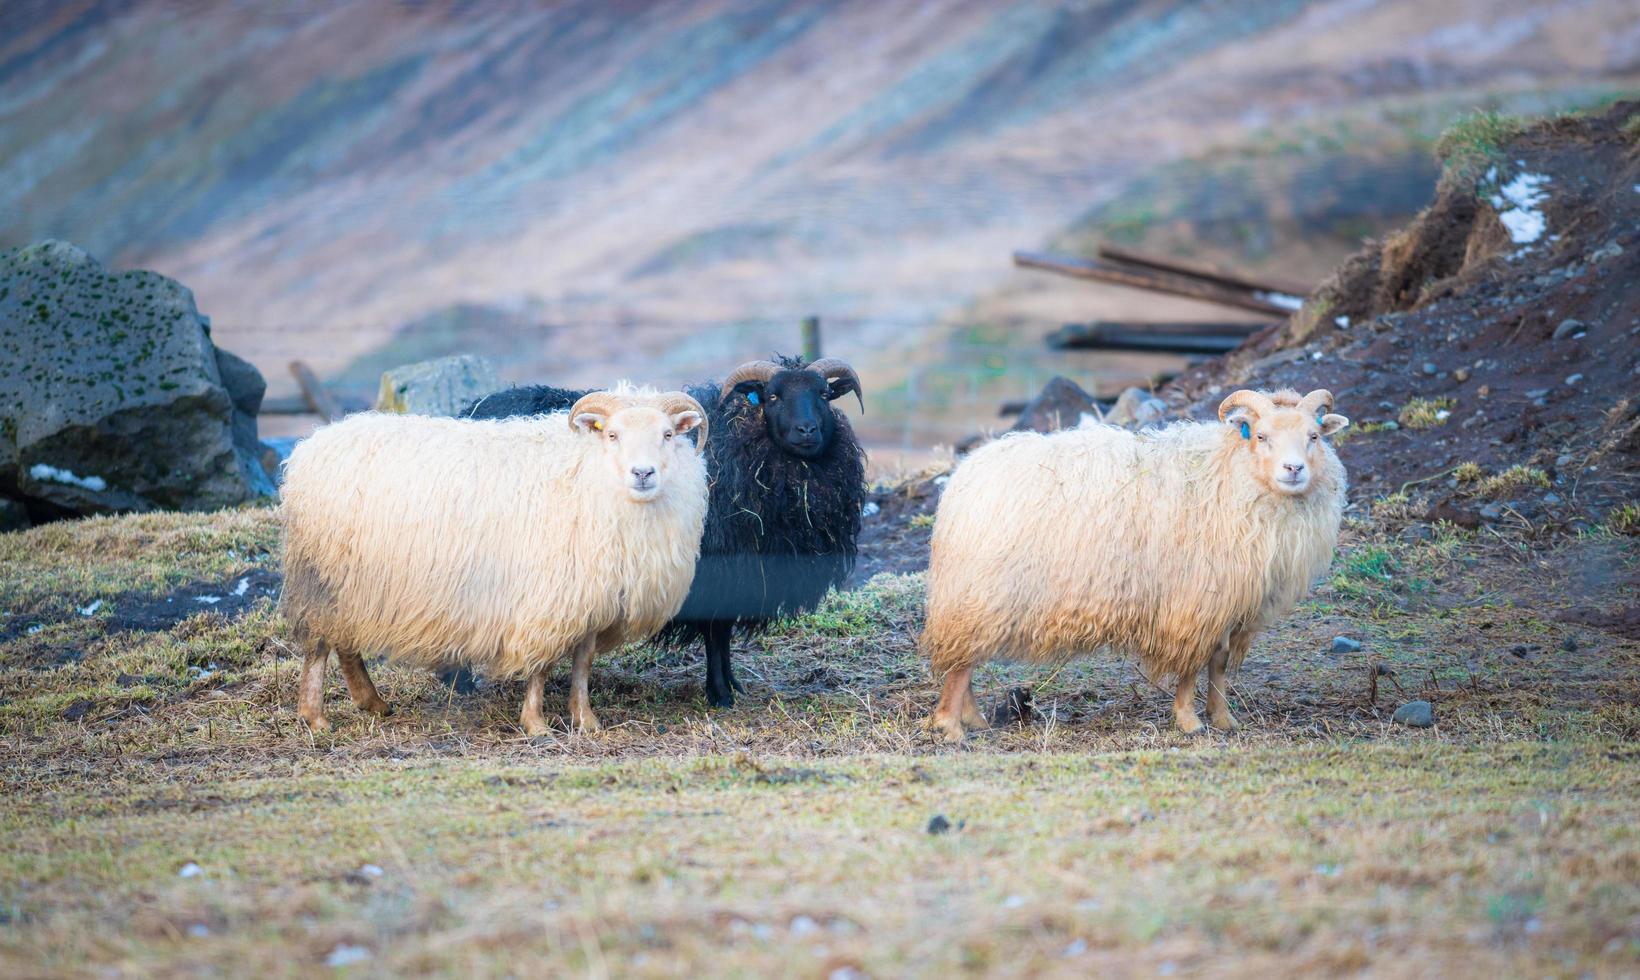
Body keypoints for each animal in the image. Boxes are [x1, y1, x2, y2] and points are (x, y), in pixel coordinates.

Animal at [277, 383, 711, 737]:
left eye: (667, 434)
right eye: (614, 435)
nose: (643, 472)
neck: (590, 474)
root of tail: (311, 446)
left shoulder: (590, 596)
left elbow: (582, 663)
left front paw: (585, 719)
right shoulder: (548, 596)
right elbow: (541, 665)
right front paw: (536, 724)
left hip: (350, 583)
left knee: (344, 642)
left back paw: (372, 702)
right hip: (322, 573)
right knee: (319, 644)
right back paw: (315, 716)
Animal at [455, 357, 865, 711]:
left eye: (824, 395)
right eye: (774, 396)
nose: (807, 431)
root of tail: (468, 410)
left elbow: (724, 636)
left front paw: (732, 685)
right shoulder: (713, 568)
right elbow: (716, 634)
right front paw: (719, 694)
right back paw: (460, 687)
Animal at [924, 388, 1344, 740]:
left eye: (1314, 436)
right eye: (1260, 436)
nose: (1294, 469)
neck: (1230, 473)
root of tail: (963, 478)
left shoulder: (1228, 601)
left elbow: (1219, 663)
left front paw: (1224, 719)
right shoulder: (1194, 600)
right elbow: (1191, 665)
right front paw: (1189, 721)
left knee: (964, 659)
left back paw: (973, 718)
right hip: (984, 591)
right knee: (960, 664)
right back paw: (950, 726)